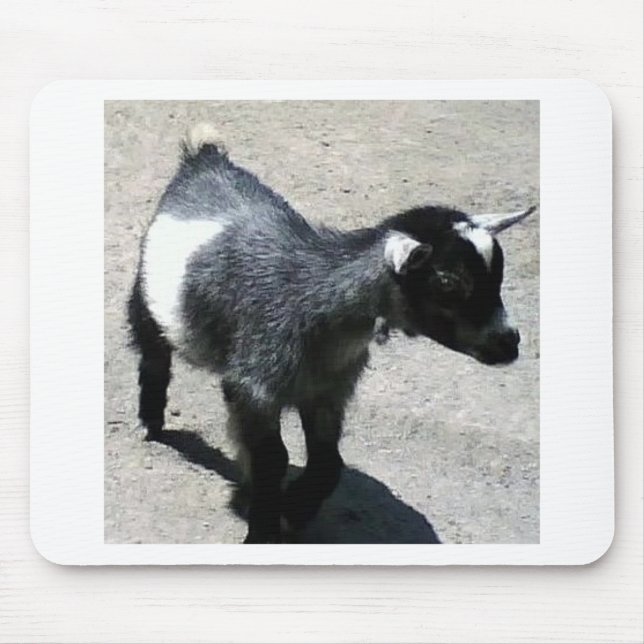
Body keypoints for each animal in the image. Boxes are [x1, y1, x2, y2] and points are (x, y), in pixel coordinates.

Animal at [128, 123, 535, 543]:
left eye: (498, 273)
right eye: (448, 282)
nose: (509, 342)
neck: (315, 302)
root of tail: (205, 157)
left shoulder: (327, 390)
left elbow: (328, 462)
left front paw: (293, 511)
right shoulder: (255, 385)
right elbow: (273, 459)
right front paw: (264, 527)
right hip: (148, 298)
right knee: (153, 352)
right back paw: (151, 421)